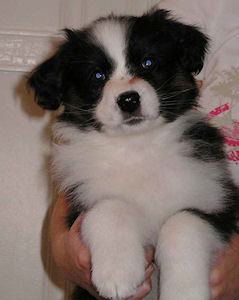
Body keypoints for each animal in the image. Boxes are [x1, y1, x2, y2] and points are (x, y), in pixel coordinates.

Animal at [28, 9, 239, 300]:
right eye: (97, 76)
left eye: (148, 62)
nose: (128, 100)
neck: (138, 146)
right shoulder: (80, 204)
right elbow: (111, 207)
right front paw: (117, 274)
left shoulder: (218, 203)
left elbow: (182, 223)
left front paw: (184, 292)